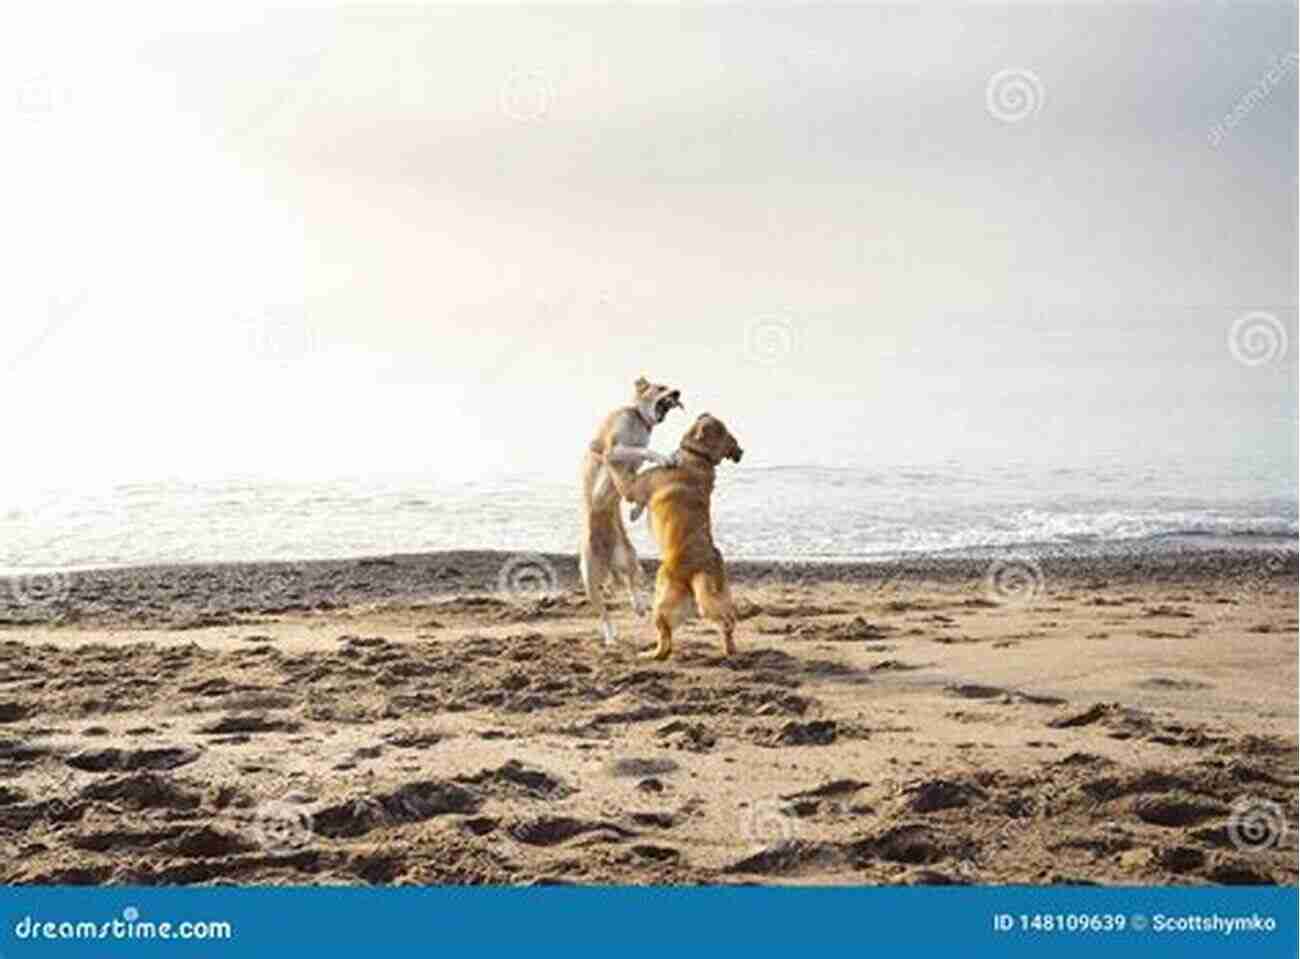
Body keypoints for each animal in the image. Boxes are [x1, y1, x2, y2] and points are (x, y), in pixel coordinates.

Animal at [577, 376, 681, 647]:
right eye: (660, 387)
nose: (678, 392)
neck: (639, 419)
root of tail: (608, 560)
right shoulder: (615, 450)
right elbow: (642, 451)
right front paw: (664, 458)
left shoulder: (632, 468)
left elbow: (636, 481)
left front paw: (635, 510)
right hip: (590, 581)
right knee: (604, 614)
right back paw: (611, 638)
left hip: (630, 558)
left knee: (633, 582)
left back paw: (640, 605)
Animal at [595, 410, 743, 657]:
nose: (739, 451)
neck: (698, 457)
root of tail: (698, 571)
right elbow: (638, 506)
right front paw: (635, 513)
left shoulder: (632, 486)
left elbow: (618, 472)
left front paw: (606, 454)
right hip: (720, 596)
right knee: (727, 622)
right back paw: (729, 649)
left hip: (661, 601)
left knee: (665, 645)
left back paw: (647, 655)